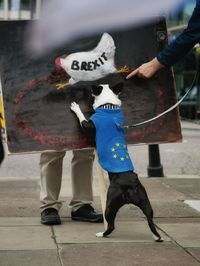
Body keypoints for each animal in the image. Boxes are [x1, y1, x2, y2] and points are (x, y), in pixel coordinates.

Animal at [70, 84, 162, 242]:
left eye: (93, 91)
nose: (88, 89)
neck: (109, 107)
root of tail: (131, 184)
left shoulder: (89, 125)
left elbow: (82, 118)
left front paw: (76, 107)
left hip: (110, 203)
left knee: (111, 225)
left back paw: (102, 234)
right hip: (146, 202)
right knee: (150, 219)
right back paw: (156, 236)